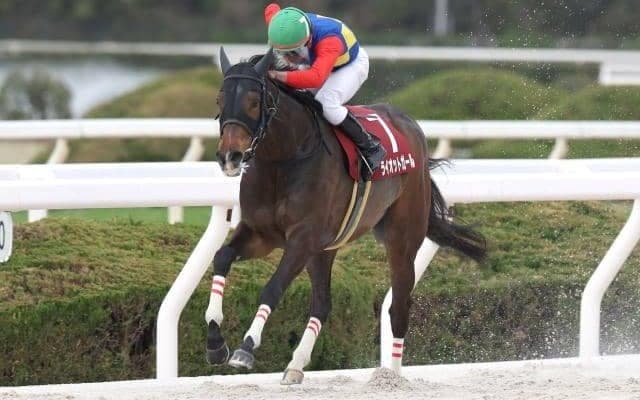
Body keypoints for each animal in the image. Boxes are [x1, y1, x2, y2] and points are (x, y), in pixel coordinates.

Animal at [204, 47, 486, 385]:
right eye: (219, 99)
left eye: (253, 101)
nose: (229, 157)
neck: (283, 160)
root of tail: (411, 126)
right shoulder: (262, 234)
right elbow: (221, 256)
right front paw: (215, 342)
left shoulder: (302, 239)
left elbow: (273, 287)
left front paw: (246, 347)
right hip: (324, 249)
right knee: (323, 304)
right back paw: (296, 365)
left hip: (401, 238)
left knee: (399, 305)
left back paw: (392, 378)